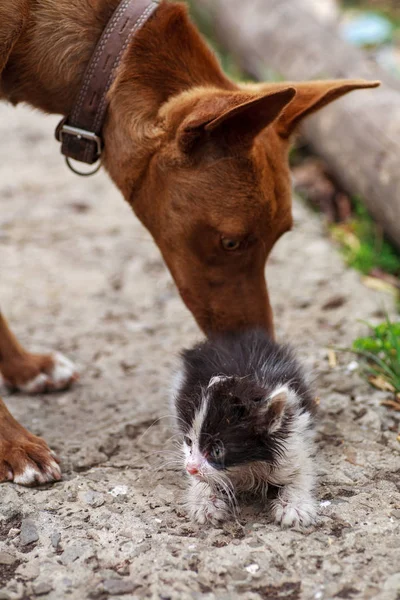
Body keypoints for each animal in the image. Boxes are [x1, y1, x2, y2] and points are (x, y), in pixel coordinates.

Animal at [172, 330, 318, 528]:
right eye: (188, 441)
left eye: (217, 451)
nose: (190, 468)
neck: (246, 465)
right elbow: (201, 480)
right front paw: (205, 503)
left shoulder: (292, 441)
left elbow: (301, 472)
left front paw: (294, 506)